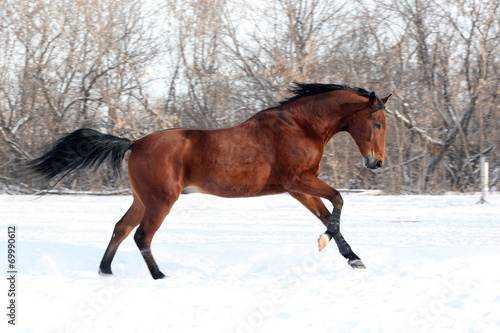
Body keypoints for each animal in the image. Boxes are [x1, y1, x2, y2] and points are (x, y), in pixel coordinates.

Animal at [24, 82, 390, 278]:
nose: (376, 163)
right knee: (142, 235)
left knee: (121, 228)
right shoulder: (297, 181)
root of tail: (134, 142)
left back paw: (106, 271)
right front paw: (328, 244)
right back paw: (159, 276)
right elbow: (338, 200)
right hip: (161, 201)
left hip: (142, 199)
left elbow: (328, 214)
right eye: (377, 123)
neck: (300, 127)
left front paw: (352, 257)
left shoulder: (298, 188)